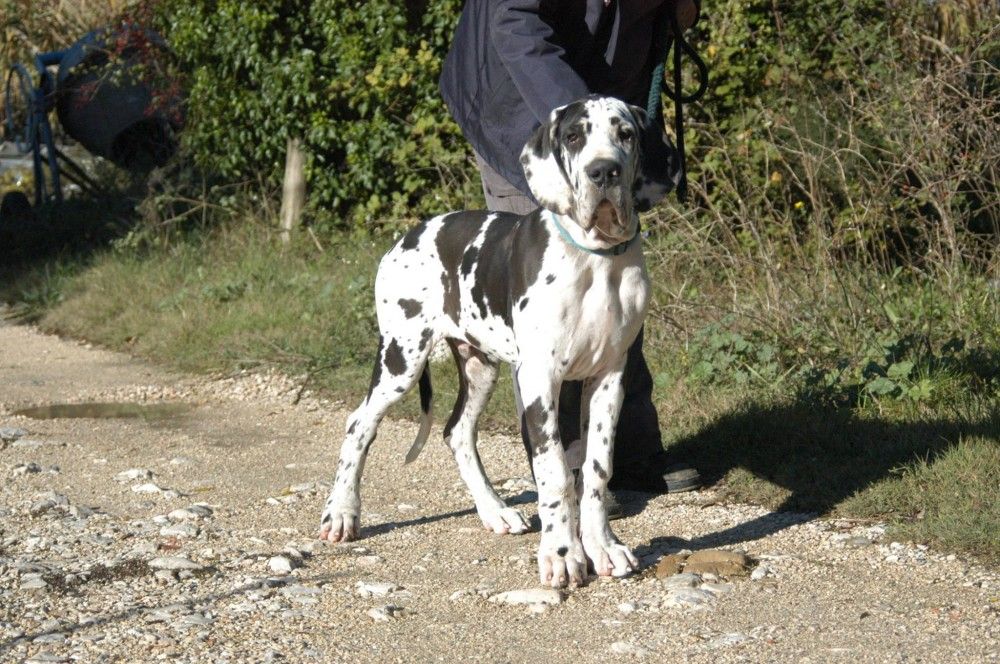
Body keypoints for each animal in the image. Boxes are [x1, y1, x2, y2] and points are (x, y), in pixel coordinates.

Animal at [319, 95, 675, 588]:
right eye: (573, 137)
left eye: (625, 133)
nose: (604, 172)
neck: (594, 258)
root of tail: (406, 237)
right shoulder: (540, 379)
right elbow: (555, 471)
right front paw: (562, 554)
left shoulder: (609, 376)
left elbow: (597, 468)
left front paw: (602, 546)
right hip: (400, 358)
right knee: (359, 424)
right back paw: (341, 513)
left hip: (479, 365)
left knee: (457, 432)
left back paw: (495, 511)